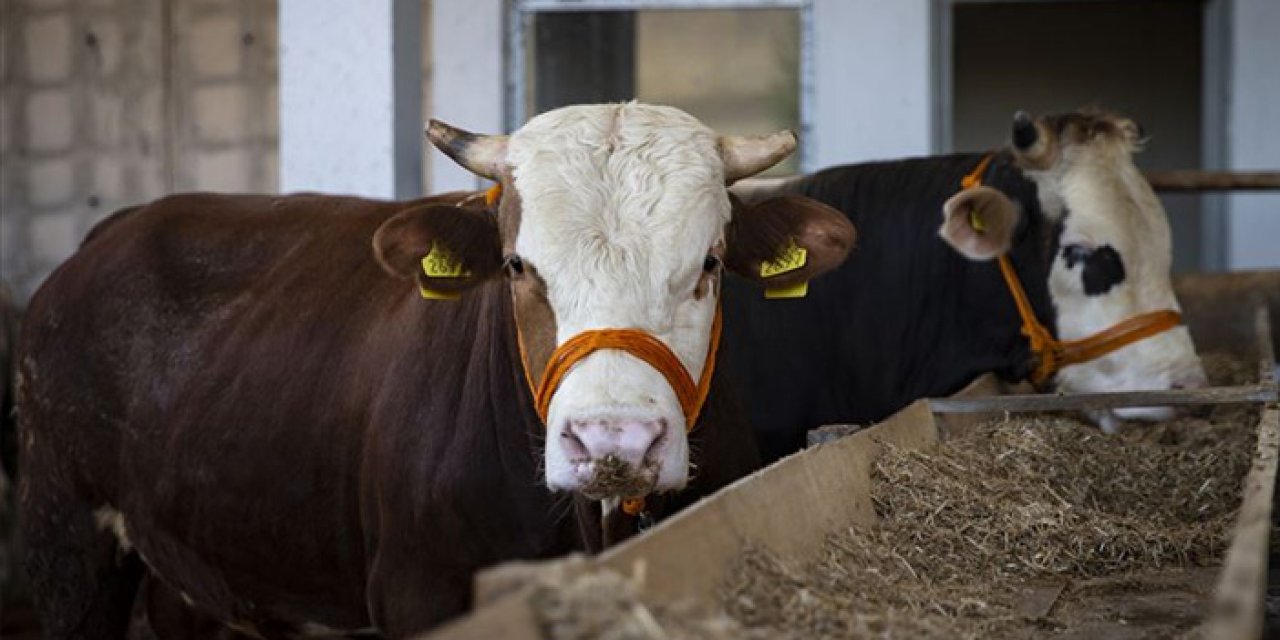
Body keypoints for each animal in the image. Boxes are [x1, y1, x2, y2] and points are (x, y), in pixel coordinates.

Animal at [15, 102, 855, 637]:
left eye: (709, 262)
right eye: (517, 265)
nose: (612, 441)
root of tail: (120, 226)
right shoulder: (418, 590)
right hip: (65, 548)